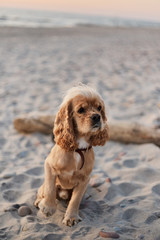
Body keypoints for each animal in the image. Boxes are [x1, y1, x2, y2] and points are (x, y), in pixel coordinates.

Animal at [34, 85, 109, 227]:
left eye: (99, 108)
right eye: (81, 110)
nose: (97, 117)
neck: (78, 149)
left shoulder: (85, 180)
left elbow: (75, 200)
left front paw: (71, 217)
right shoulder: (49, 165)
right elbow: (50, 189)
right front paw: (48, 207)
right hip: (42, 187)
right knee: (42, 192)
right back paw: (38, 202)